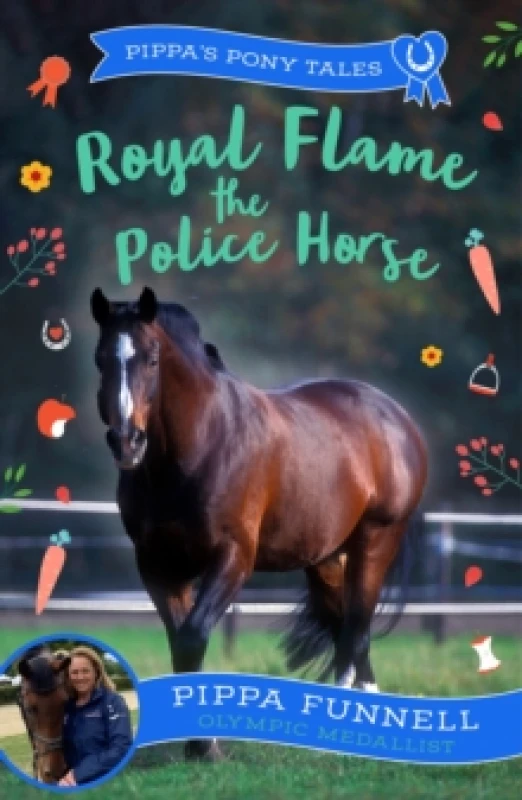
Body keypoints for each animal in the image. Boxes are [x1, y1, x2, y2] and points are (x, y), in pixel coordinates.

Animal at [91, 286, 427, 760]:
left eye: (152, 359)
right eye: (100, 358)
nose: (126, 441)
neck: (200, 446)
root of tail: (396, 417)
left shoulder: (233, 557)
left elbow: (193, 636)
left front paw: (205, 747)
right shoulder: (158, 565)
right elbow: (179, 641)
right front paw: (197, 743)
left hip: (376, 541)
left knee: (356, 629)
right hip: (325, 558)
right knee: (345, 627)